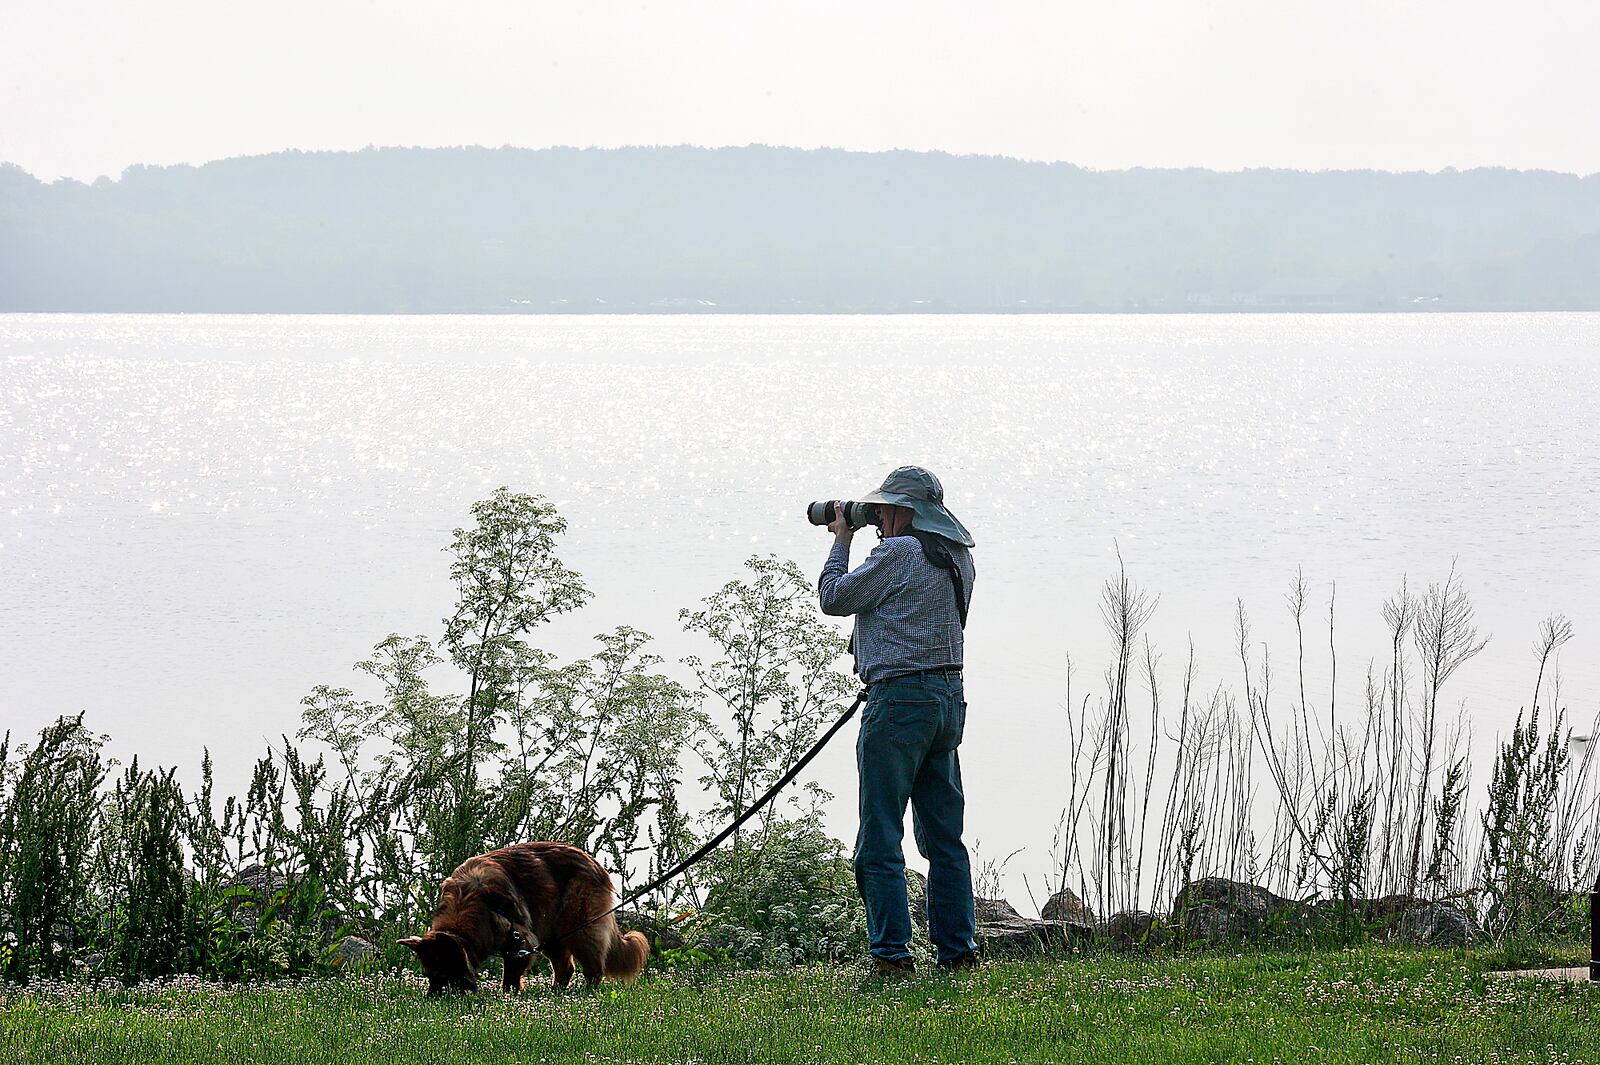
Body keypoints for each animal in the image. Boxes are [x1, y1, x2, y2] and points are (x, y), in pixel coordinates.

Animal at [400, 837, 649, 997]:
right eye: (428, 974)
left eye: (444, 974)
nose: (432, 999)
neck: (471, 902)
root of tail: (595, 862)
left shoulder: (520, 939)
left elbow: (510, 976)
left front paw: (509, 996)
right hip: (552, 932)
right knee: (565, 967)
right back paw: (556, 993)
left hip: (579, 927)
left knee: (593, 969)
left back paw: (586, 993)